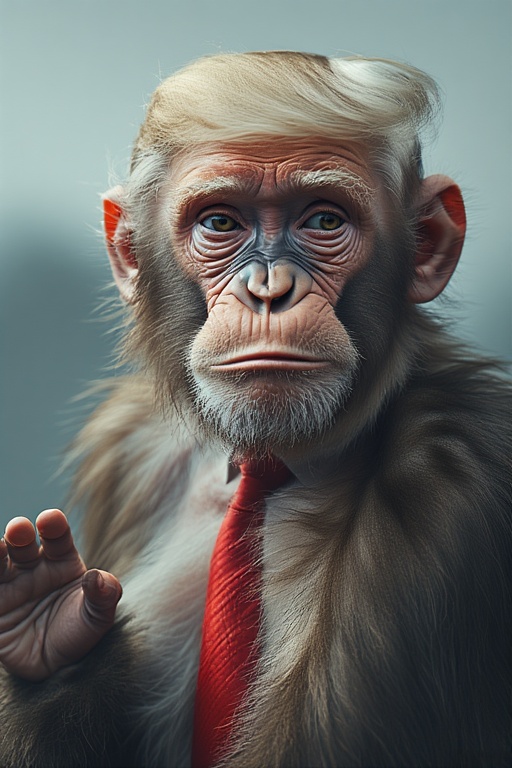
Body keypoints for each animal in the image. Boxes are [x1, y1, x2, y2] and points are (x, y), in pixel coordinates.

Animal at [0, 50, 511, 768]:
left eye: (323, 220)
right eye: (221, 222)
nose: (269, 289)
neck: (270, 469)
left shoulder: (454, 484)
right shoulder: (130, 449)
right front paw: (50, 635)